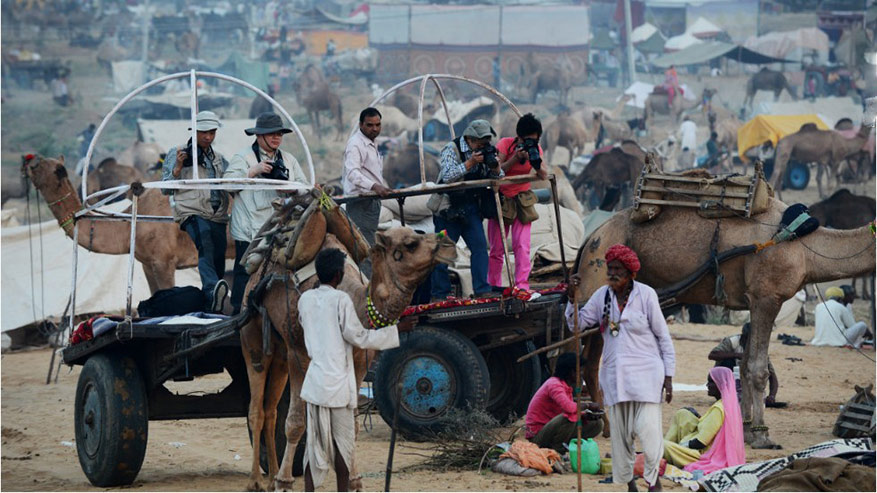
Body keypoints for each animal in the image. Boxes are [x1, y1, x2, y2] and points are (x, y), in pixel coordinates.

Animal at [240, 210, 458, 488]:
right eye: (411, 243)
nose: (450, 245)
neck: (354, 302)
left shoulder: (360, 362)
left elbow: (351, 427)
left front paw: (354, 480)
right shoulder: (298, 354)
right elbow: (296, 423)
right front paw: (285, 481)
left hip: (278, 353)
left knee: (270, 411)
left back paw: (271, 476)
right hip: (253, 338)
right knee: (256, 410)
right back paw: (256, 480)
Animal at [572, 198, 872, 448]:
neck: (804, 248)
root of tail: (592, 236)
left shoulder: (752, 300)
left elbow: (746, 364)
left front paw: (747, 430)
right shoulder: (767, 297)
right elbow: (757, 369)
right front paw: (762, 436)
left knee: (590, 362)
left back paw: (604, 426)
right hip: (596, 278)